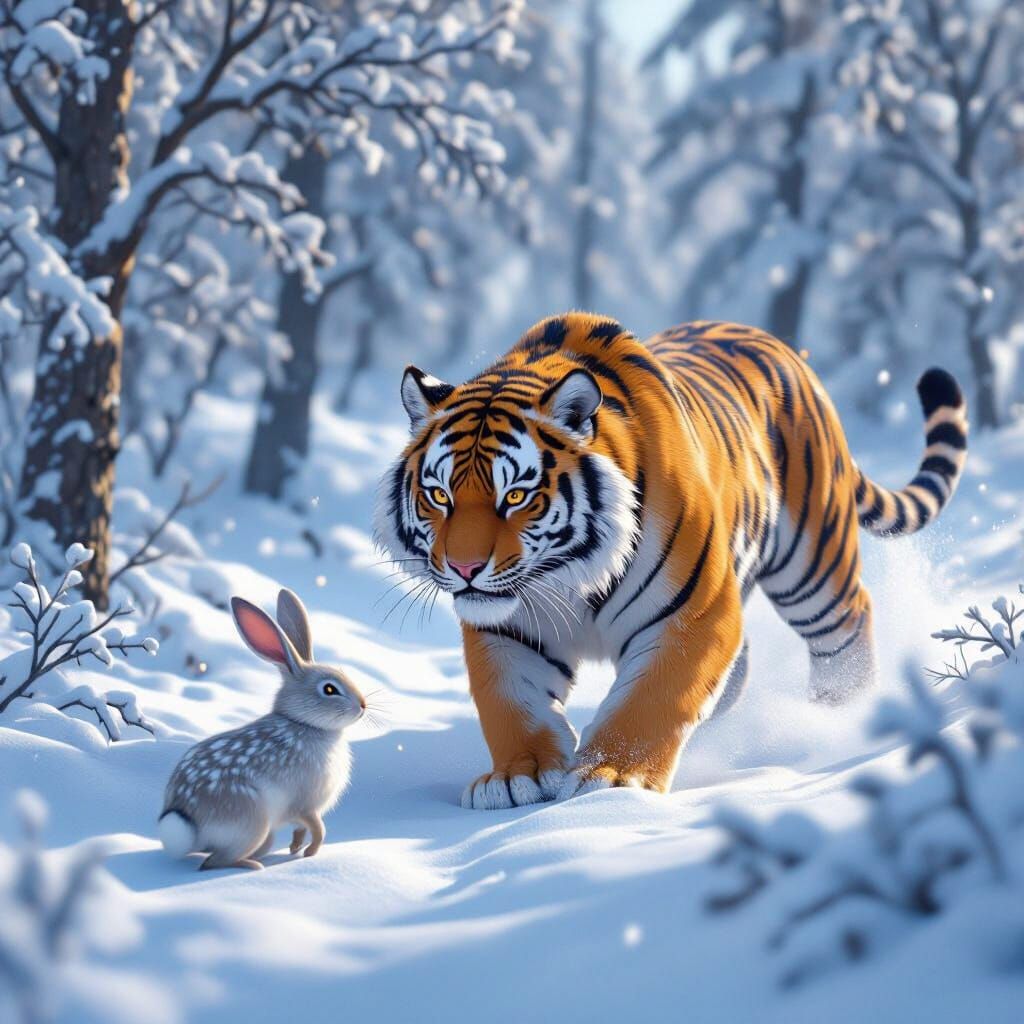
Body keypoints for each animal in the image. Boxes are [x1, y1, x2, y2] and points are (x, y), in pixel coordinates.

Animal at [158, 588, 365, 871]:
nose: (363, 706)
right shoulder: (304, 805)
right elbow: (317, 827)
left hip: (263, 833)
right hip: (253, 822)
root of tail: (186, 826)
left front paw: (295, 849)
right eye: (330, 689)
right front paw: (310, 854)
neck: (303, 722)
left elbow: (301, 829)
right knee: (212, 862)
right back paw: (253, 866)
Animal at [374, 313, 968, 809]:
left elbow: (653, 697)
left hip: (813, 564)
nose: (465, 569)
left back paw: (837, 716)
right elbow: (509, 703)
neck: (568, 575)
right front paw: (520, 776)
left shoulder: (692, 613)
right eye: (439, 495)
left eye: (516, 496)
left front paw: (614, 779)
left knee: (847, 629)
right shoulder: (508, 628)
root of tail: (784, 347)